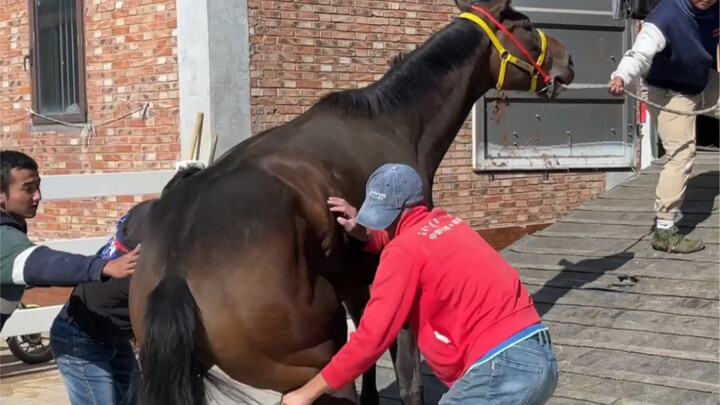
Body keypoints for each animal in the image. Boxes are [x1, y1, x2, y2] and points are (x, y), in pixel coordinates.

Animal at [128, 1, 575, 404]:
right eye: (528, 25)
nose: (568, 59)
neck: (392, 122)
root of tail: (177, 269)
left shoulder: (358, 281)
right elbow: (409, 382)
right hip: (317, 360)